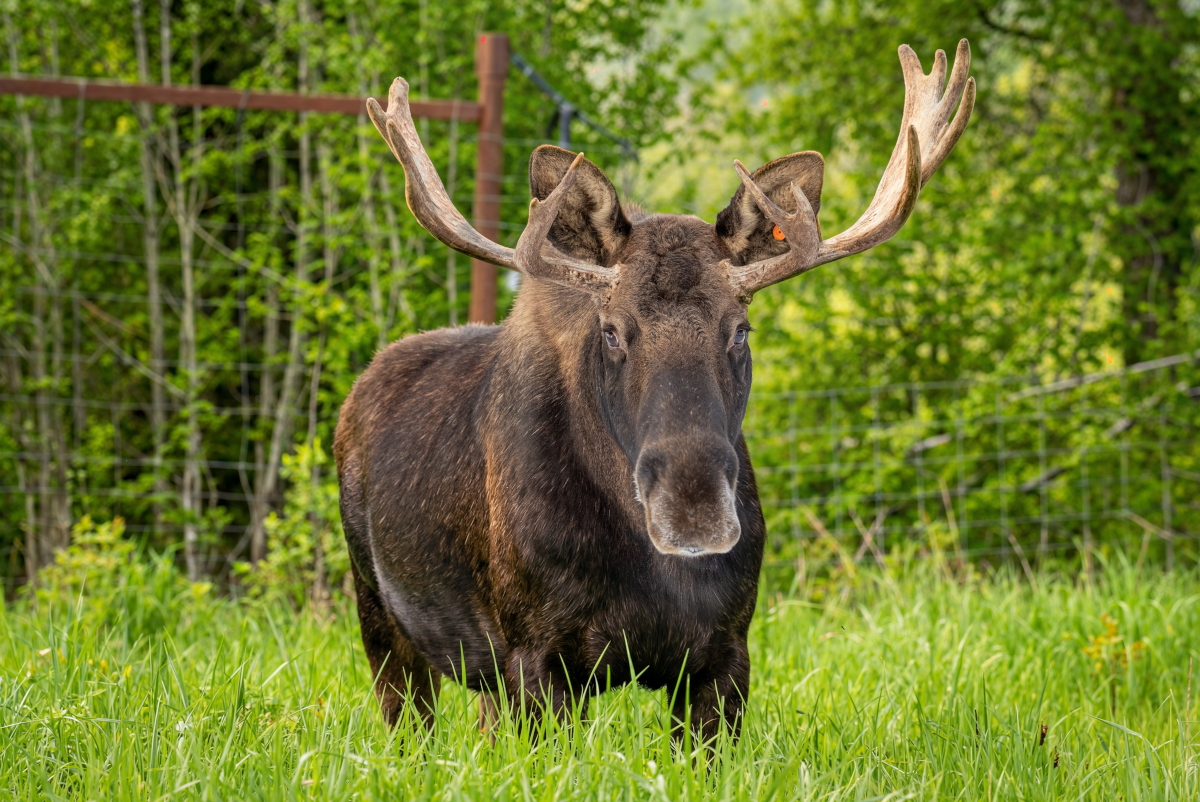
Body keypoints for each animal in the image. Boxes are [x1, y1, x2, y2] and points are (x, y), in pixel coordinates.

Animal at [334, 40, 974, 743]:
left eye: (741, 327)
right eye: (611, 329)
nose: (692, 506)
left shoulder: (726, 653)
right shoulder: (535, 652)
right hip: (381, 620)